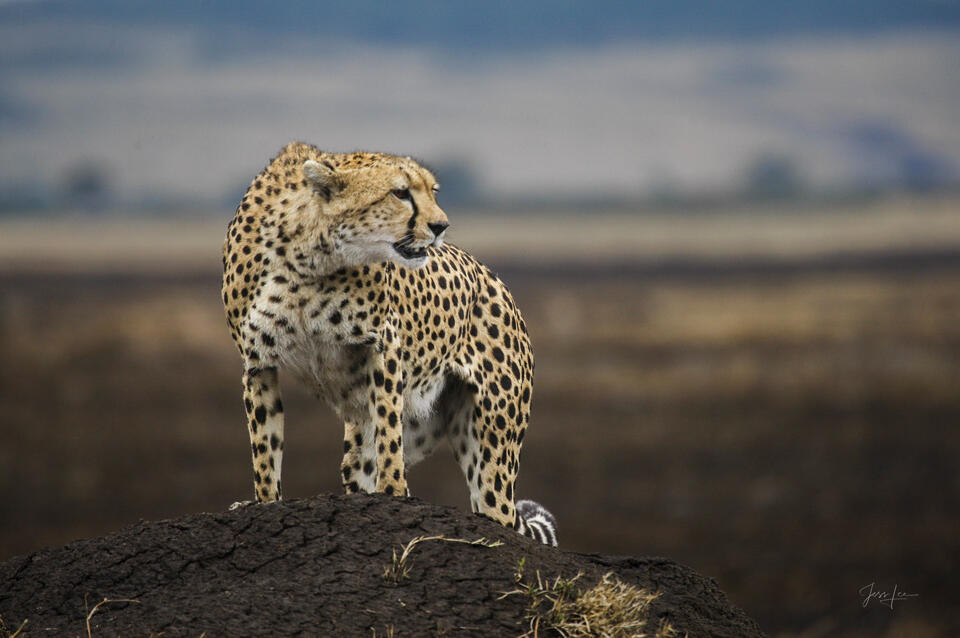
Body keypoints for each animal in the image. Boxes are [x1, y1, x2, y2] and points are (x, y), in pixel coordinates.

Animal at [222, 141, 557, 545]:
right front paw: (264, 503)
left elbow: (387, 430)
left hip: (491, 444)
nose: (440, 226)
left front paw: (394, 493)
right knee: (359, 463)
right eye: (400, 193)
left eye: (432, 191)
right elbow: (265, 448)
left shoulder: (383, 344)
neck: (309, 257)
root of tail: (494, 279)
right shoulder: (258, 363)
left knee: (496, 508)